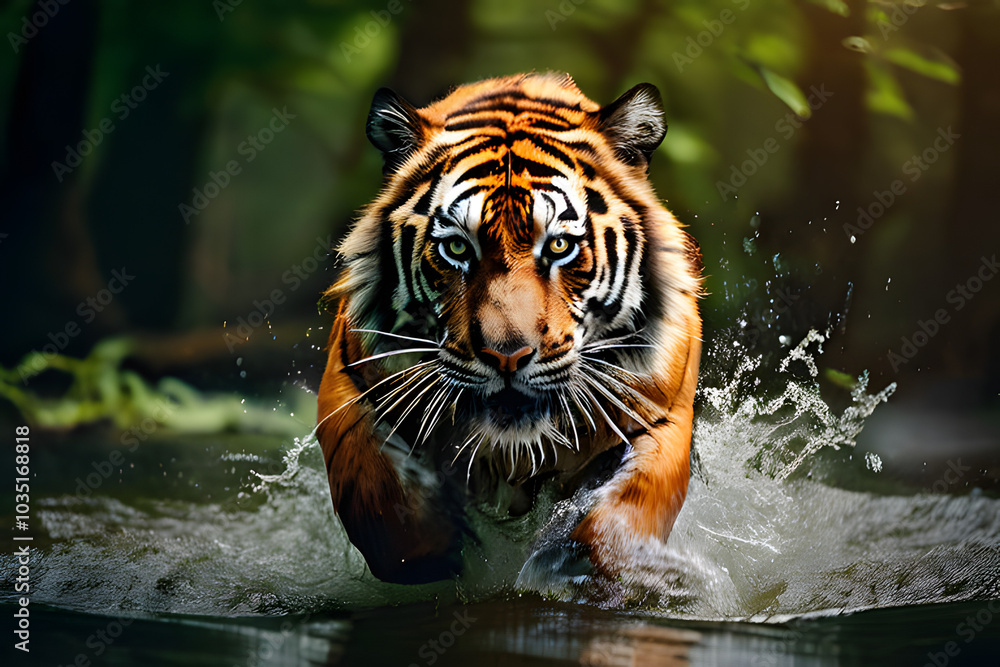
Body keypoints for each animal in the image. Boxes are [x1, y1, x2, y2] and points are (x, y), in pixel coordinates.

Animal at [316, 72, 702, 585]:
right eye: (458, 248)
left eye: (558, 246)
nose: (507, 356)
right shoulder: (351, 385)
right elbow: (380, 500)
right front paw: (439, 550)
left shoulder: (661, 412)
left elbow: (627, 512)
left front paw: (582, 565)